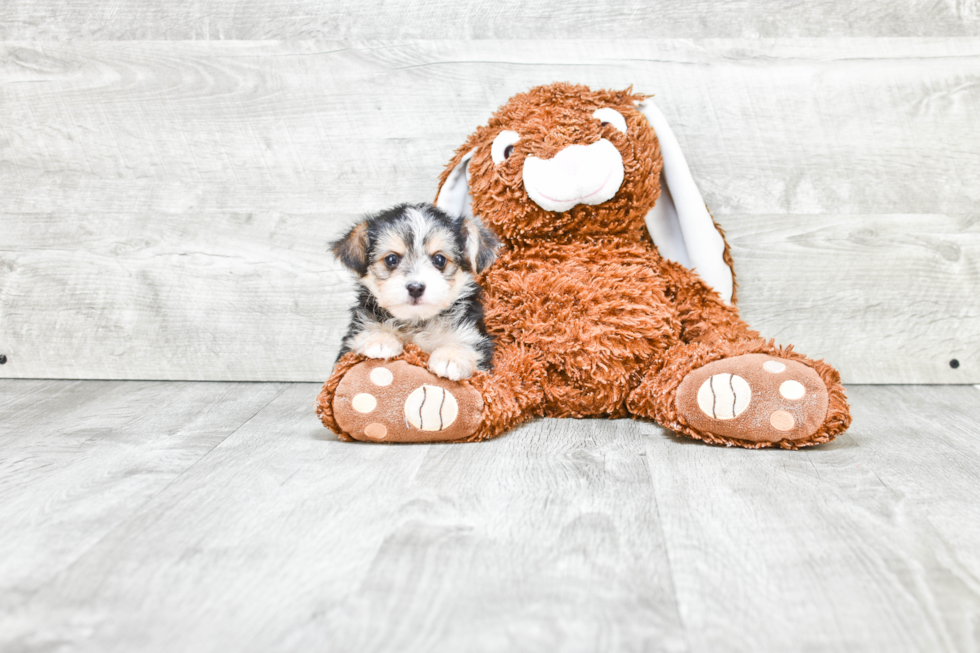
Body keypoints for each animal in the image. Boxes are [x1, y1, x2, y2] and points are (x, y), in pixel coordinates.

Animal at [332, 201, 498, 380]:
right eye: (391, 259)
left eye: (439, 259)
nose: (415, 288)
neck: (417, 322)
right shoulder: (350, 342)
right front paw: (380, 337)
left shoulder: (476, 338)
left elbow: (468, 344)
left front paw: (451, 356)